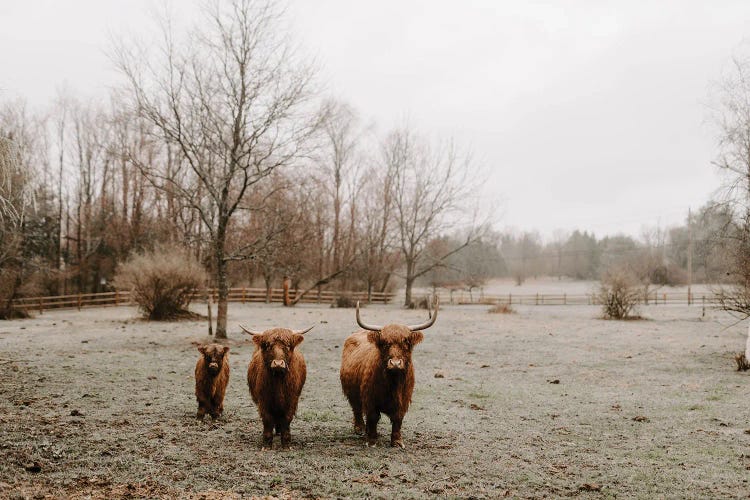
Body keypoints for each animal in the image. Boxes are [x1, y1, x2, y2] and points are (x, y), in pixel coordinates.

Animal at [342, 296, 440, 450]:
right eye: (384, 342)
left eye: (406, 341)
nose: (395, 363)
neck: (393, 383)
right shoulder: (370, 399)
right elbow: (372, 417)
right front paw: (372, 440)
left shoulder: (404, 399)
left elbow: (398, 419)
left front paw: (397, 441)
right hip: (352, 392)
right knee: (356, 409)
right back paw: (360, 429)